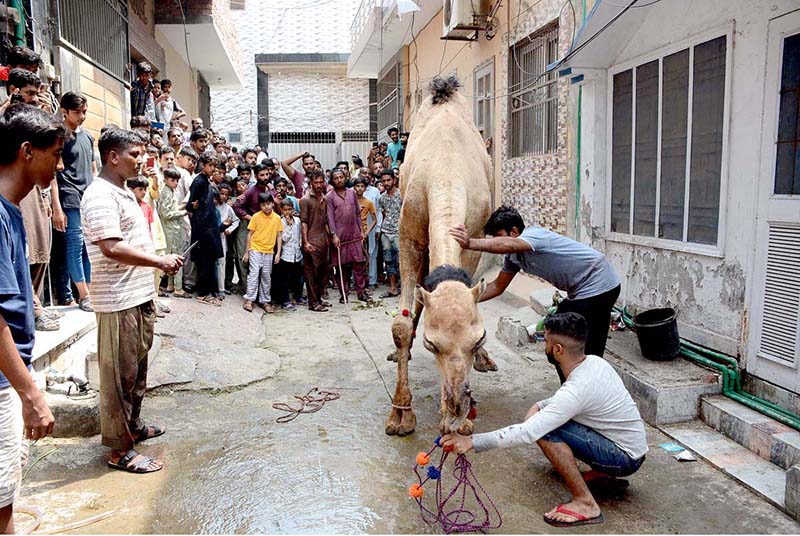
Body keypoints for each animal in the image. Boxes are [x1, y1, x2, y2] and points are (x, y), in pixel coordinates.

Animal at [386, 75, 496, 438]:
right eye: (432, 345)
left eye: (478, 339)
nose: (459, 408)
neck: (446, 168)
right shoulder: (408, 235)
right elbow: (401, 323)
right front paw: (401, 414)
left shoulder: (475, 237)